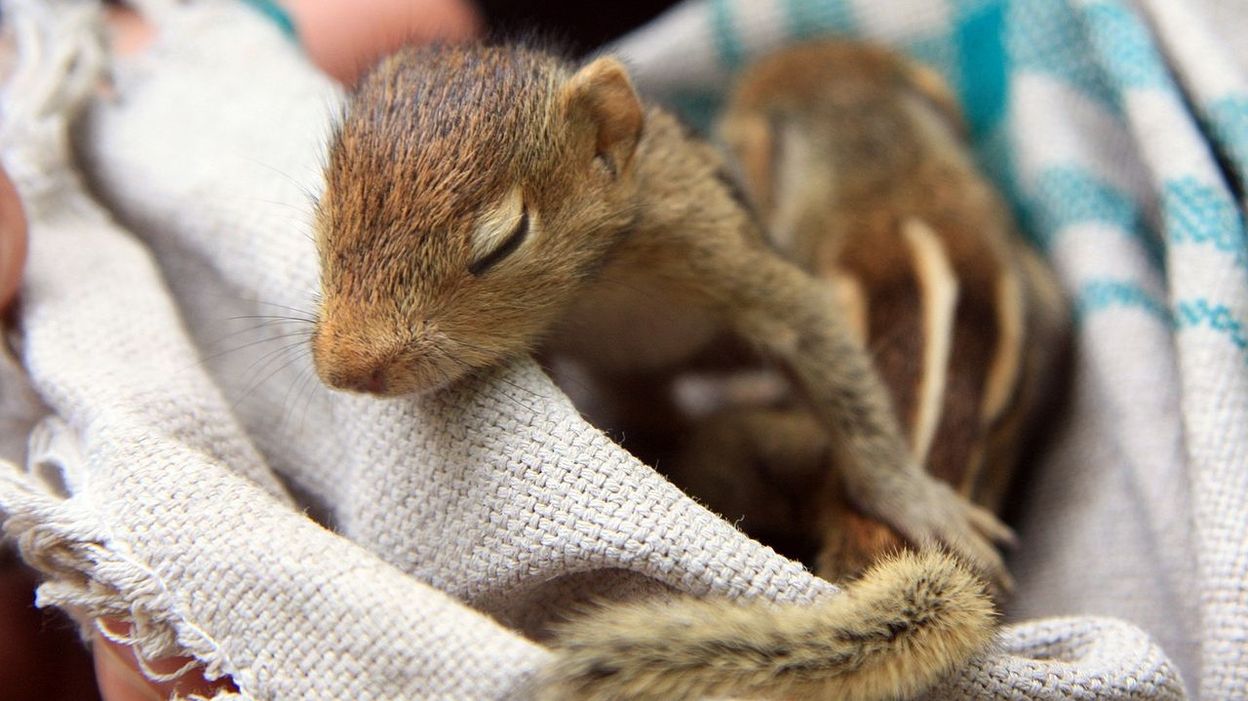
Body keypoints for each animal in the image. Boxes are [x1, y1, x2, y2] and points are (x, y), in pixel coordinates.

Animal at [314, 42, 1003, 693]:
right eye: (322, 220)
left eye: (503, 240)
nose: (347, 370)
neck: (597, 285)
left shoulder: (740, 261)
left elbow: (835, 367)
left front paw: (916, 499)